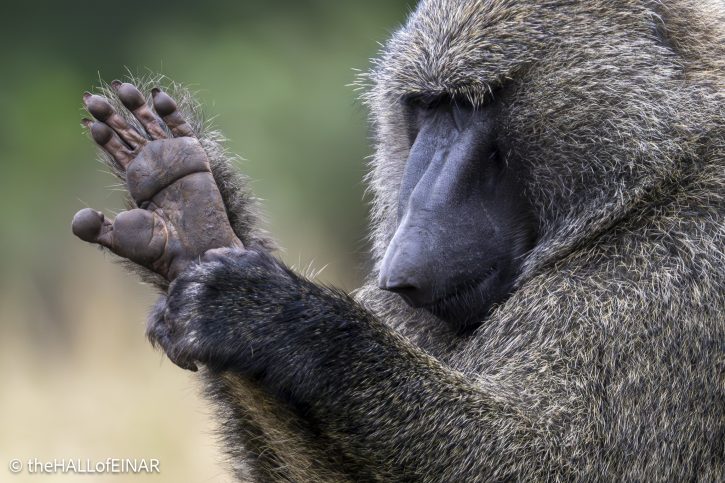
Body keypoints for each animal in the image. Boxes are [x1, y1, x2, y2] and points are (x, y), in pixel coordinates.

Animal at [71, 0, 724, 481]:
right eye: (425, 106)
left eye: (470, 102)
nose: (402, 264)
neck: (655, 180)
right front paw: (193, 222)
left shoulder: (671, 282)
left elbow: (556, 464)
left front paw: (274, 317)